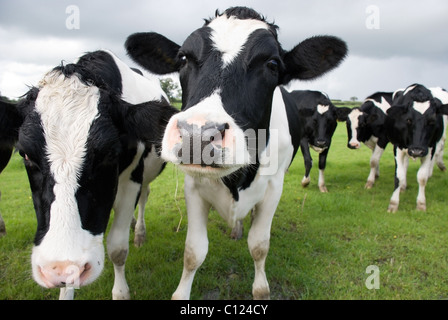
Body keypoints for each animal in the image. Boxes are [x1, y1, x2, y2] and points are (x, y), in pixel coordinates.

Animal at [0, 50, 178, 300]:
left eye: (109, 153)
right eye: (25, 154)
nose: (59, 268)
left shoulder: (132, 180)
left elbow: (117, 248)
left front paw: (121, 293)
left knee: (144, 196)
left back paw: (139, 233)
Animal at [384, 84, 448, 212]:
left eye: (432, 121)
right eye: (408, 120)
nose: (417, 151)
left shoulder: (430, 148)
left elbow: (422, 177)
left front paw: (421, 204)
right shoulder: (397, 147)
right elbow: (398, 175)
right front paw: (393, 204)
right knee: (405, 165)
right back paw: (403, 187)